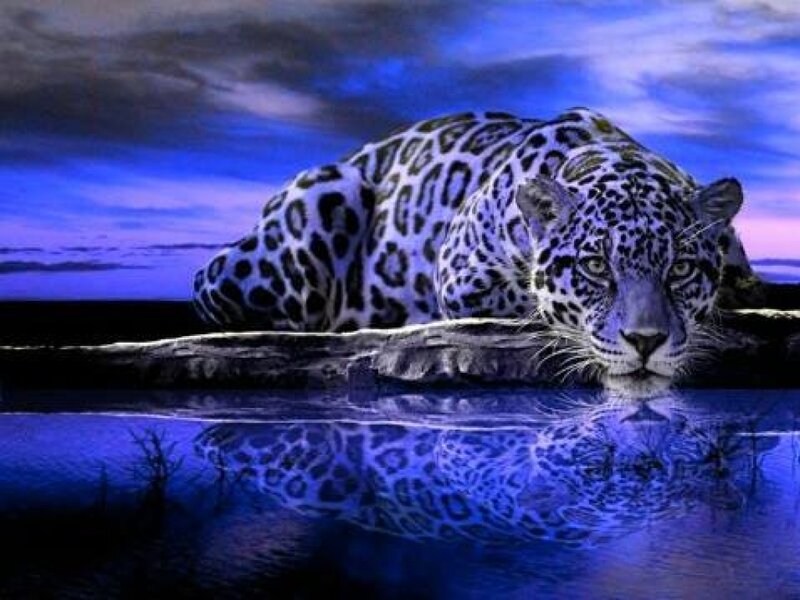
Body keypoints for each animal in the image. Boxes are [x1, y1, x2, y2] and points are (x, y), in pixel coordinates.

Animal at [192, 107, 755, 385]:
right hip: (322, 199)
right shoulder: (462, 274)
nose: (645, 342)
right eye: (596, 267)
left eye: (680, 269)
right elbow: (532, 299)